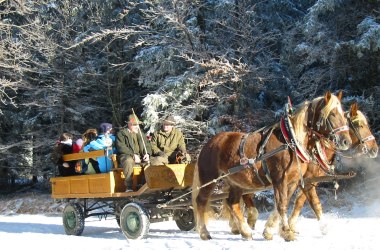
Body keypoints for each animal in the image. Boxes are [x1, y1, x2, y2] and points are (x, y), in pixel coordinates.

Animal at [191, 91, 352, 240]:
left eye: (344, 114)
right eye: (332, 114)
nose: (346, 141)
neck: (291, 142)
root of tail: (209, 143)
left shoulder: (294, 181)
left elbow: (289, 203)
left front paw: (271, 231)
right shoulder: (280, 179)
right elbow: (282, 205)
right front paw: (287, 232)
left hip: (236, 182)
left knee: (232, 203)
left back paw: (245, 231)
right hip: (209, 179)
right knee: (201, 201)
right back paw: (204, 232)